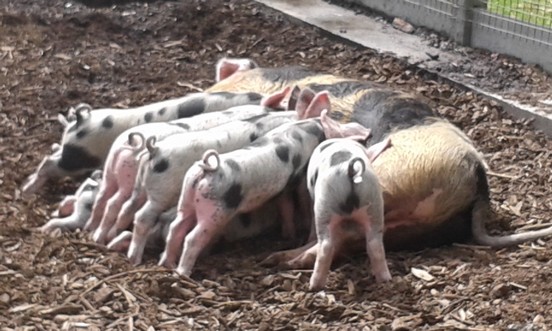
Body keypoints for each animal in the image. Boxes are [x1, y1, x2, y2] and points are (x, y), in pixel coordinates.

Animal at [21, 90, 264, 195]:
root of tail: (81, 121)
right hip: (78, 157)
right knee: (49, 163)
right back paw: (26, 191)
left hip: (72, 152)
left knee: (51, 157)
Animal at [85, 87, 294, 245]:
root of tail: (153, 150)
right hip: (158, 192)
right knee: (137, 213)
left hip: (122, 179)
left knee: (112, 201)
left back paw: (97, 234)